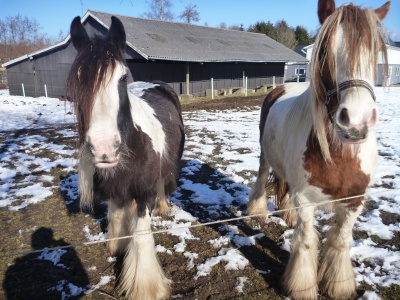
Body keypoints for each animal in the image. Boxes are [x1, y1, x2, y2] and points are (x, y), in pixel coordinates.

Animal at [65, 17, 184, 300]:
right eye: (78, 79)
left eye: (121, 77)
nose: (104, 147)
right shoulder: (114, 189)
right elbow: (116, 218)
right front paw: (118, 247)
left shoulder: (144, 194)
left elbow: (141, 237)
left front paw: (145, 288)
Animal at [248, 0, 390, 298]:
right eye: (324, 50)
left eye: (373, 52)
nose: (356, 122)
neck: (339, 155)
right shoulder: (306, 200)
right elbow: (305, 242)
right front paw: (302, 287)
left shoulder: (354, 201)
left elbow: (341, 241)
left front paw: (339, 285)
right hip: (265, 156)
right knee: (261, 177)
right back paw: (257, 211)